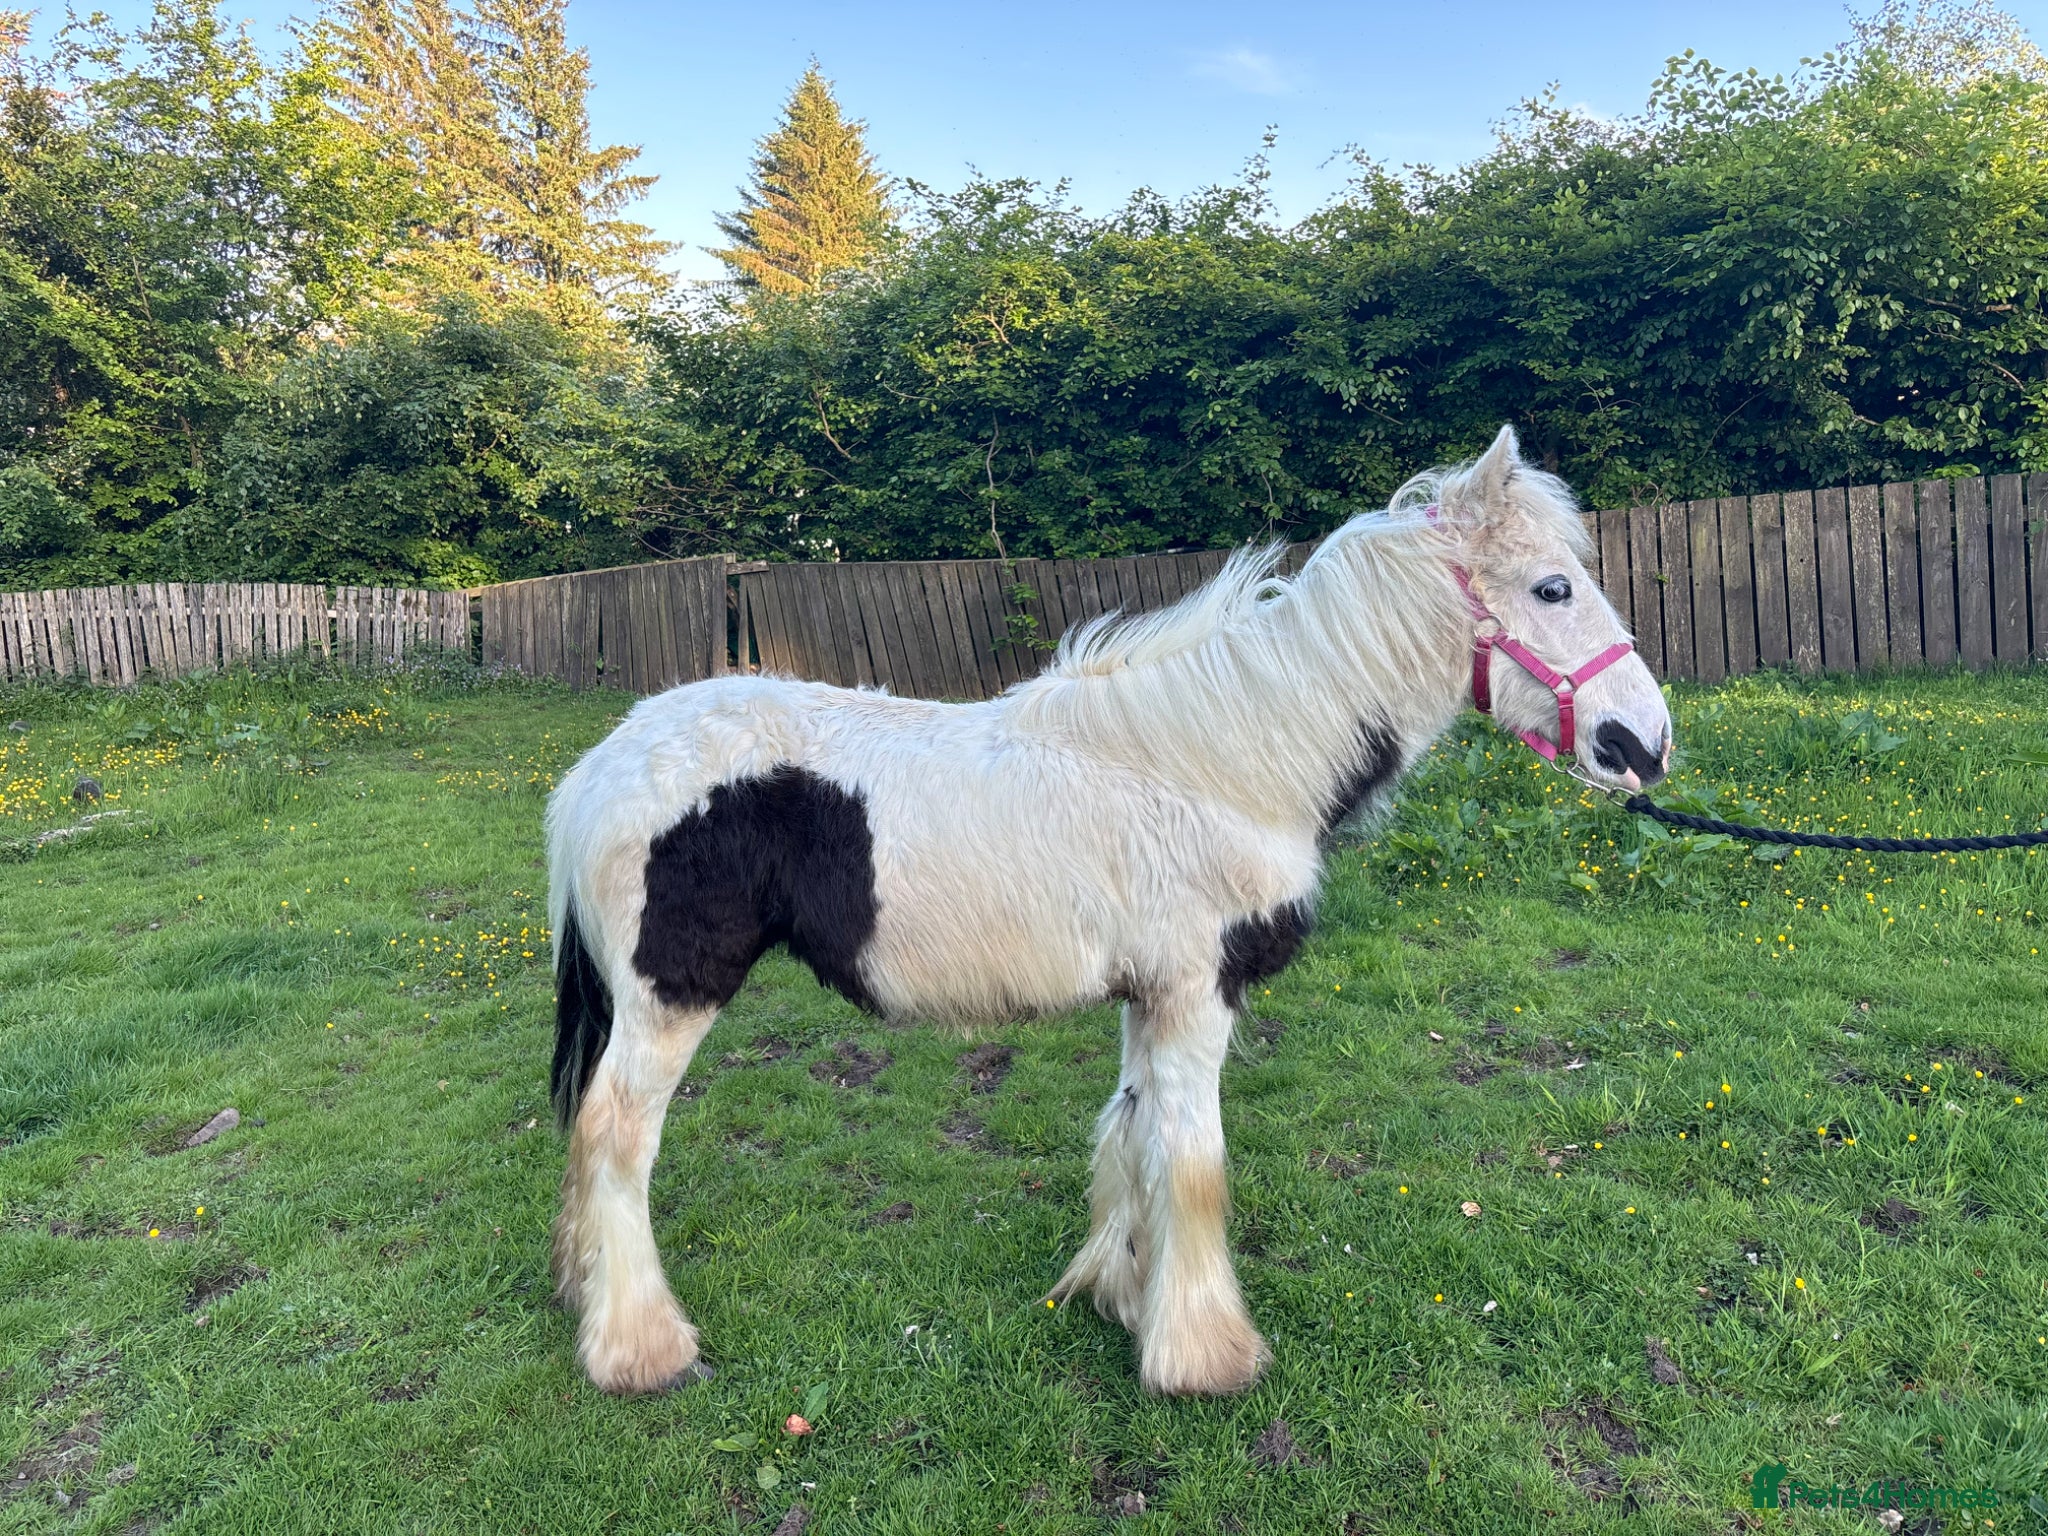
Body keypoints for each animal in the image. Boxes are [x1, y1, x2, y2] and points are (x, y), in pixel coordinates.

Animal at [543, 424, 1672, 1398]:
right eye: (1553, 586)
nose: (1645, 743)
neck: (1224, 762)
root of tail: (598, 772)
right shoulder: (1197, 994)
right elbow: (1193, 1161)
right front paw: (1204, 1357)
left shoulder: (1151, 996)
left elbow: (1133, 1135)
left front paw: (1124, 1301)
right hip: (670, 996)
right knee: (614, 1132)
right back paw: (639, 1347)